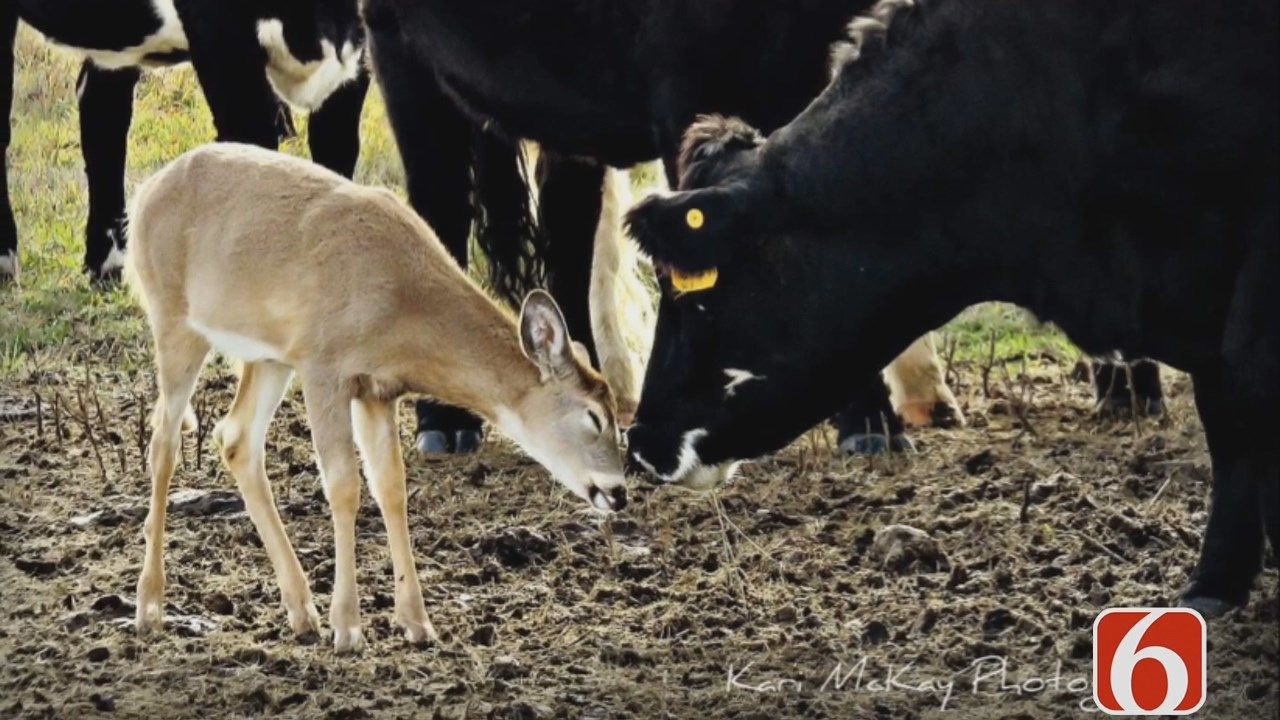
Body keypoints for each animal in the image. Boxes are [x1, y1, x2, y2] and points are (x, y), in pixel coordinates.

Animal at [125, 143, 628, 653]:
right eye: (593, 416)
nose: (618, 491)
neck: (403, 305)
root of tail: (145, 194)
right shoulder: (324, 366)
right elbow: (344, 485)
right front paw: (348, 627)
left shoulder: (376, 389)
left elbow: (391, 486)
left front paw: (416, 621)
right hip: (175, 320)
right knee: (163, 441)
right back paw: (150, 605)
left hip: (270, 356)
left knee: (236, 438)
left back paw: (300, 610)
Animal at [363, 0, 975, 457]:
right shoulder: (690, 90)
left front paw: (872, 420)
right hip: (401, 55)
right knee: (441, 210)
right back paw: (445, 421)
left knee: (567, 233)